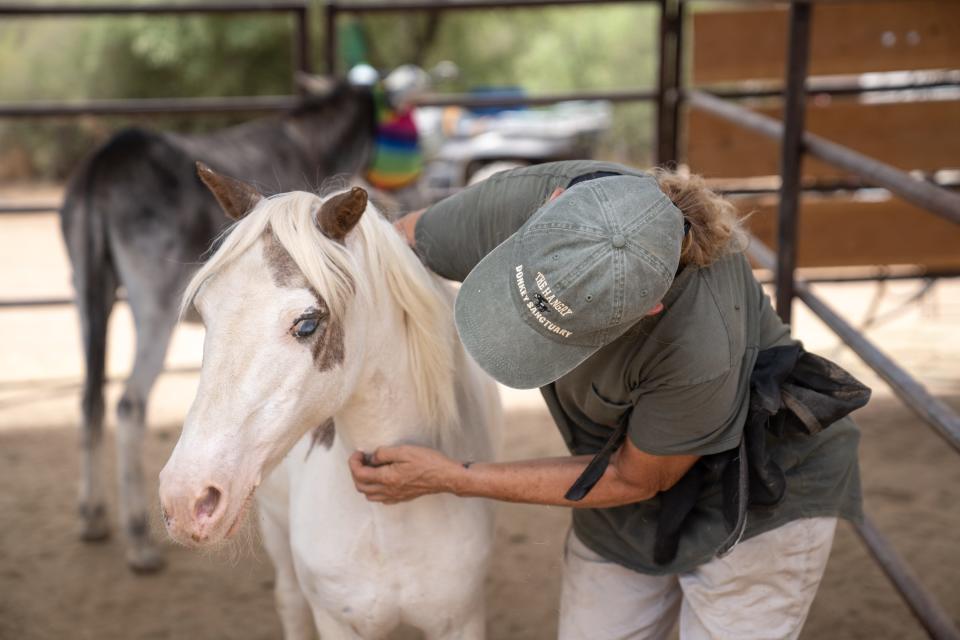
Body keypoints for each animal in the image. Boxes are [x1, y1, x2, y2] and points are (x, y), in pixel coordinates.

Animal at [158, 166, 502, 640]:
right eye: (206, 313)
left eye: (307, 323)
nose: (185, 498)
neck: (389, 524)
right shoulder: (337, 621)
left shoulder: (461, 622)